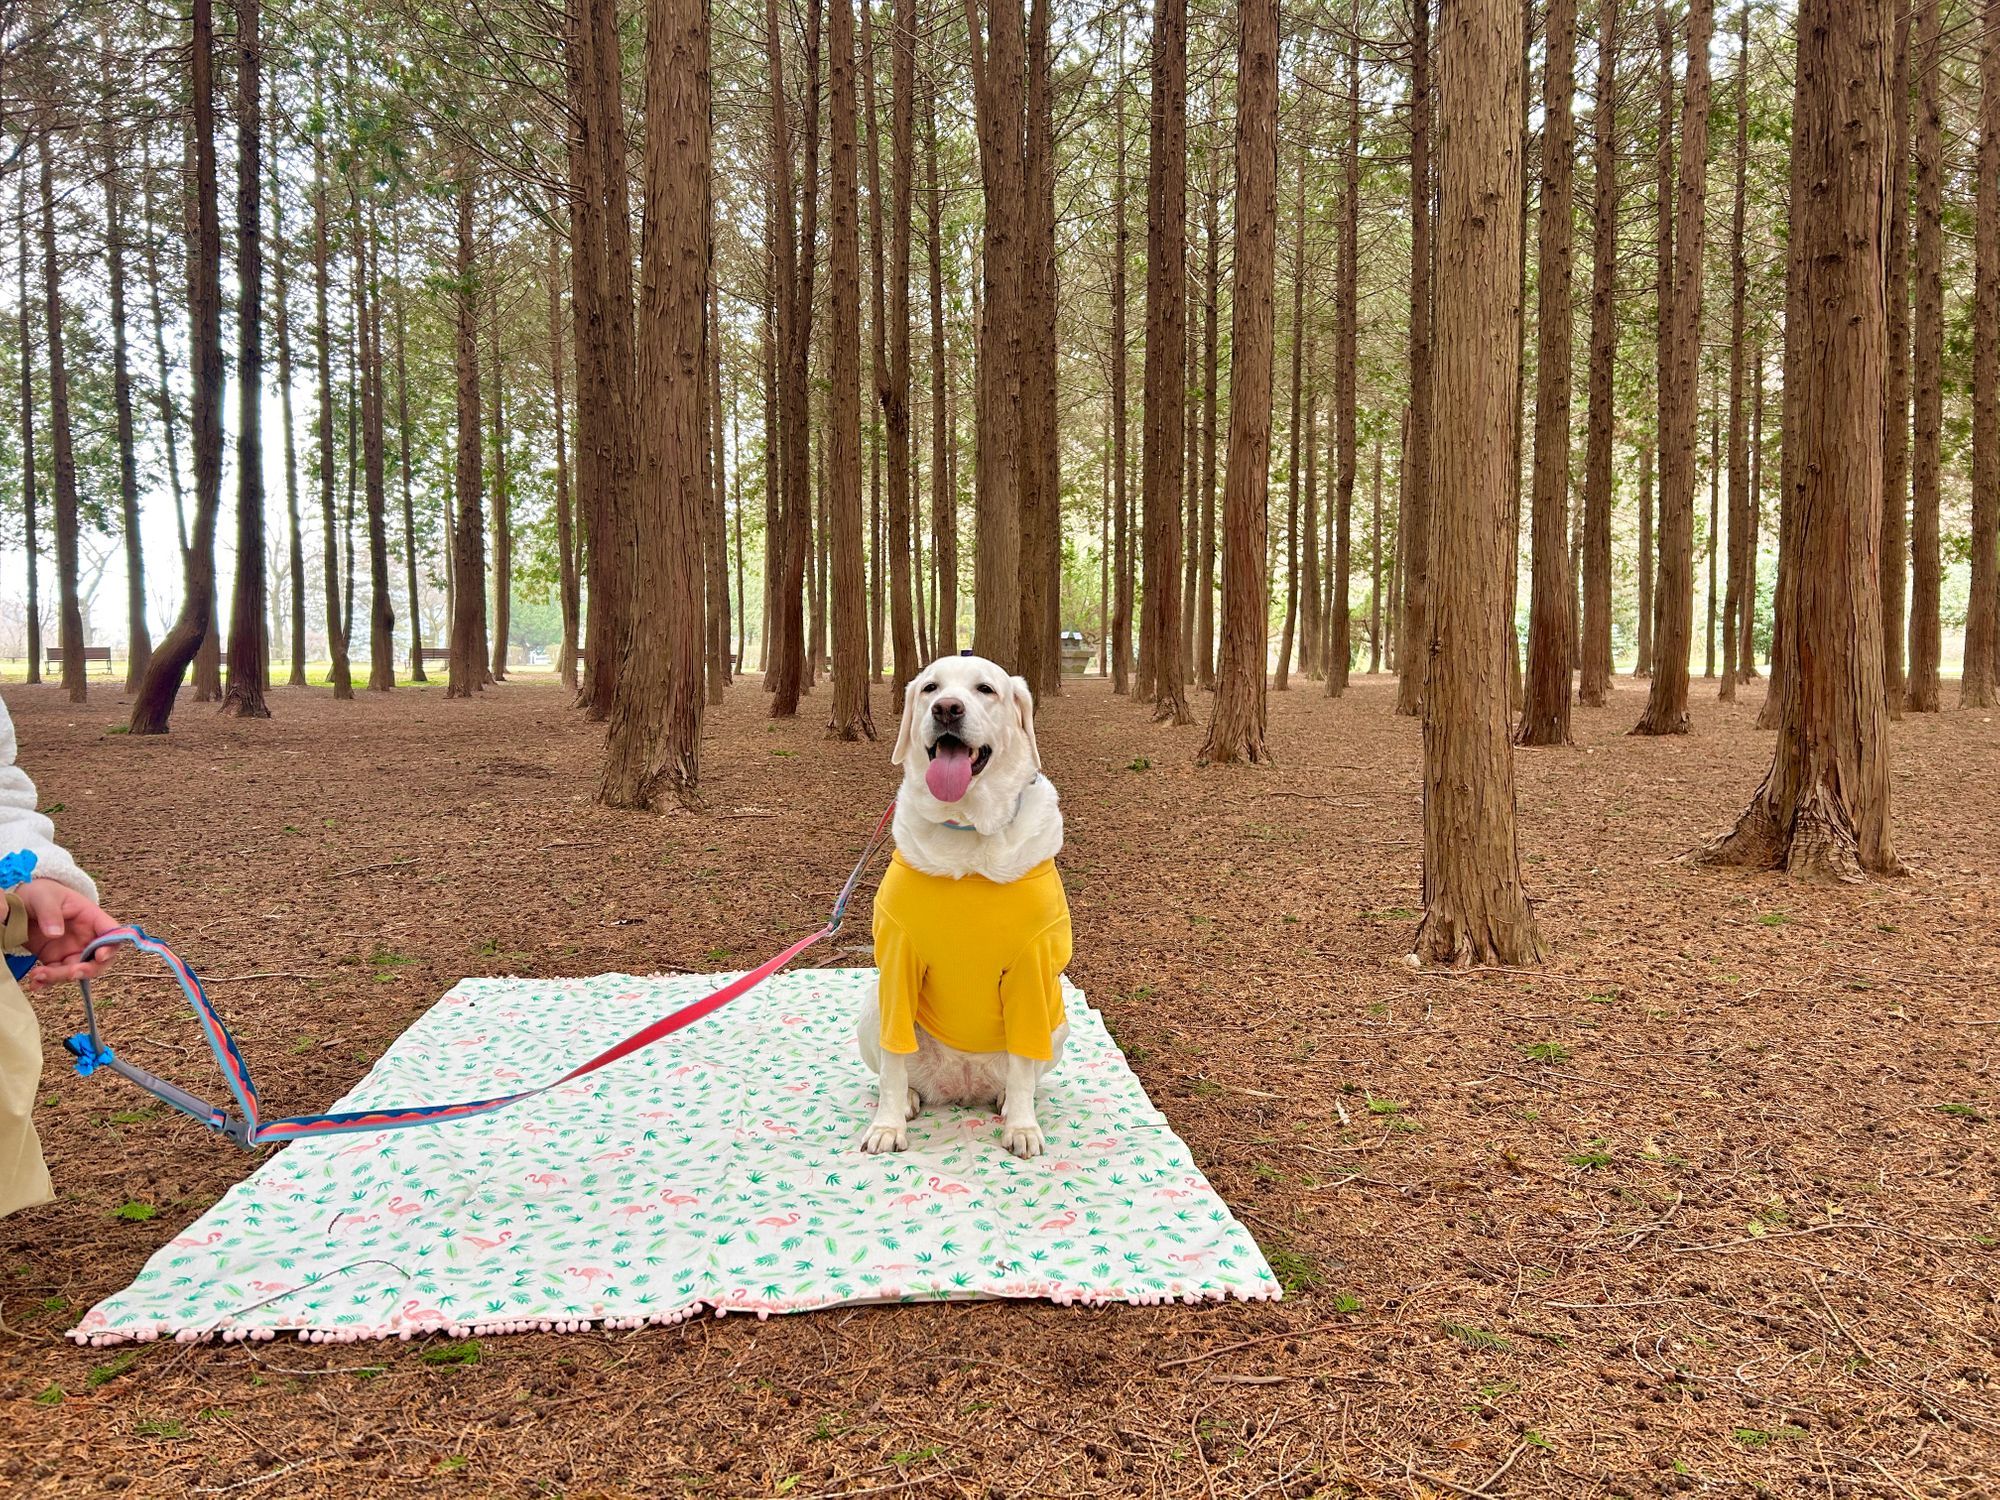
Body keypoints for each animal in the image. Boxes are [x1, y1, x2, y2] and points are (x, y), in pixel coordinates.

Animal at [860, 656, 1080, 1160]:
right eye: (929, 688)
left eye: (985, 689)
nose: (946, 708)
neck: (967, 829)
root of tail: (961, 1086)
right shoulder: (897, 960)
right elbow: (894, 1062)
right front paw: (886, 1126)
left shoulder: (1033, 969)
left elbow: (1023, 1067)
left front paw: (1022, 1127)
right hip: (871, 1005)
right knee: (895, 1070)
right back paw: (909, 1100)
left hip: (1057, 1018)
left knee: (1024, 1073)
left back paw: (1006, 1101)